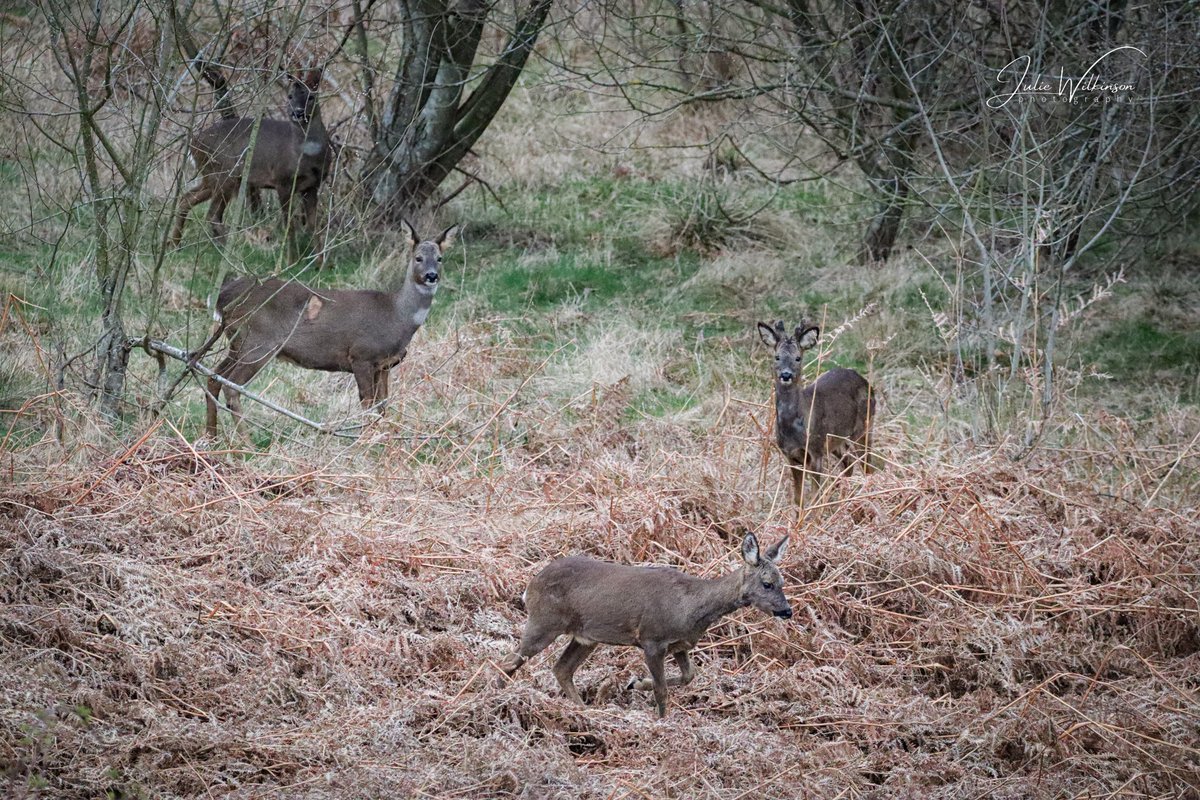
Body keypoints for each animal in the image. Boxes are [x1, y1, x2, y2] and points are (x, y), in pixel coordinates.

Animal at [168, 68, 328, 262]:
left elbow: (314, 225)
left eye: (311, 96)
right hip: (225, 173)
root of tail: (193, 144)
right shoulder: (282, 181)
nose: (297, 113)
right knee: (212, 214)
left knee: (187, 198)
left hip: (211, 177)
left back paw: (176, 245)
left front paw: (321, 263)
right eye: (290, 96)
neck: (306, 157)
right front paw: (291, 261)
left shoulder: (312, 185)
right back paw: (233, 251)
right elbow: (290, 225)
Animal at [201, 220, 453, 438]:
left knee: (214, 376)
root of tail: (223, 298)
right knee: (232, 386)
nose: (431, 276)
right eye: (418, 258)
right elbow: (367, 403)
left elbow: (383, 404)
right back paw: (245, 442)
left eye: (440, 258)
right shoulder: (361, 355)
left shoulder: (385, 365)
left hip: (238, 343)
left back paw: (212, 437)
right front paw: (367, 442)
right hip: (258, 343)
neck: (396, 316)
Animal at [492, 534, 792, 714]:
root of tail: (530, 586)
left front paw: (635, 683)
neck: (690, 606)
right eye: (767, 583)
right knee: (508, 661)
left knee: (561, 669)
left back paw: (586, 711)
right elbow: (662, 690)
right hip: (544, 621)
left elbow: (688, 677)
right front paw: (660, 720)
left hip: (585, 637)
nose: (787, 611)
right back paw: (497, 699)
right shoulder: (652, 639)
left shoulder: (680, 645)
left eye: (782, 581)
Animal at [753, 319, 878, 506]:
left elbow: (814, 498)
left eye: (798, 358)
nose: (786, 375)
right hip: (835, 439)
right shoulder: (791, 455)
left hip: (863, 427)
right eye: (777, 357)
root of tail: (868, 384)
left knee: (868, 467)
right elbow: (798, 498)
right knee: (848, 462)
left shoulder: (815, 450)